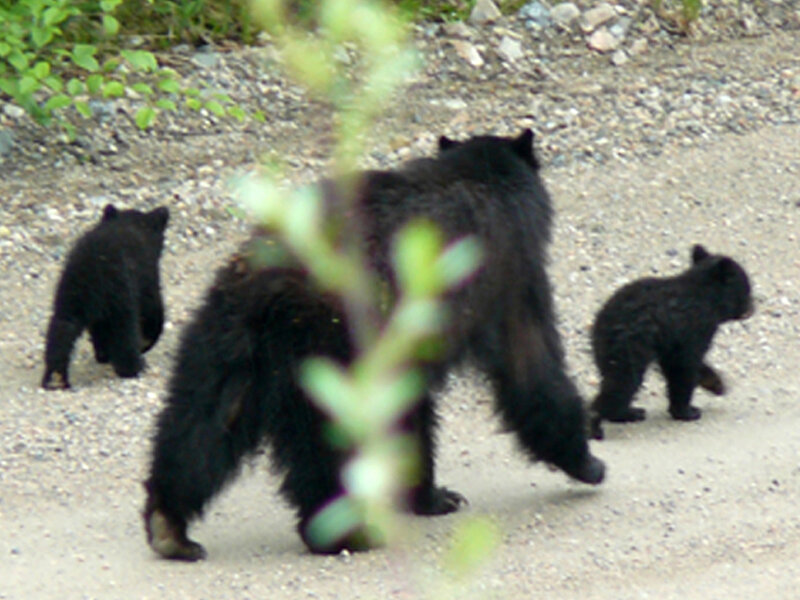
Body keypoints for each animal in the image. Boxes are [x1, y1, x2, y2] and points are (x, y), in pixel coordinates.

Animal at [41, 203, 169, 390]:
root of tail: (90, 277)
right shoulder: (145, 275)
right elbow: (152, 307)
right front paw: (146, 342)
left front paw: (102, 354)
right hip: (118, 297)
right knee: (124, 332)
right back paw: (133, 368)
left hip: (69, 298)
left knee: (61, 330)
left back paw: (55, 379)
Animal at [143, 129, 605, 561]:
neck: (481, 174)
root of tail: (274, 281)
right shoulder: (509, 273)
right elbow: (531, 365)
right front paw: (588, 463)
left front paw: (433, 496)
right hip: (328, 348)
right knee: (323, 445)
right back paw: (345, 534)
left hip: (227, 337)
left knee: (203, 419)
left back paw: (169, 527)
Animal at [589, 244, 754, 440]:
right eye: (748, 288)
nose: (752, 308)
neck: (706, 297)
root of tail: (602, 324)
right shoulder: (694, 326)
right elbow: (684, 366)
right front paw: (687, 411)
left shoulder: (671, 339)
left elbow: (679, 362)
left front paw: (715, 383)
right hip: (629, 347)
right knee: (623, 381)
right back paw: (597, 422)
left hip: (605, 350)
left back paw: (629, 412)